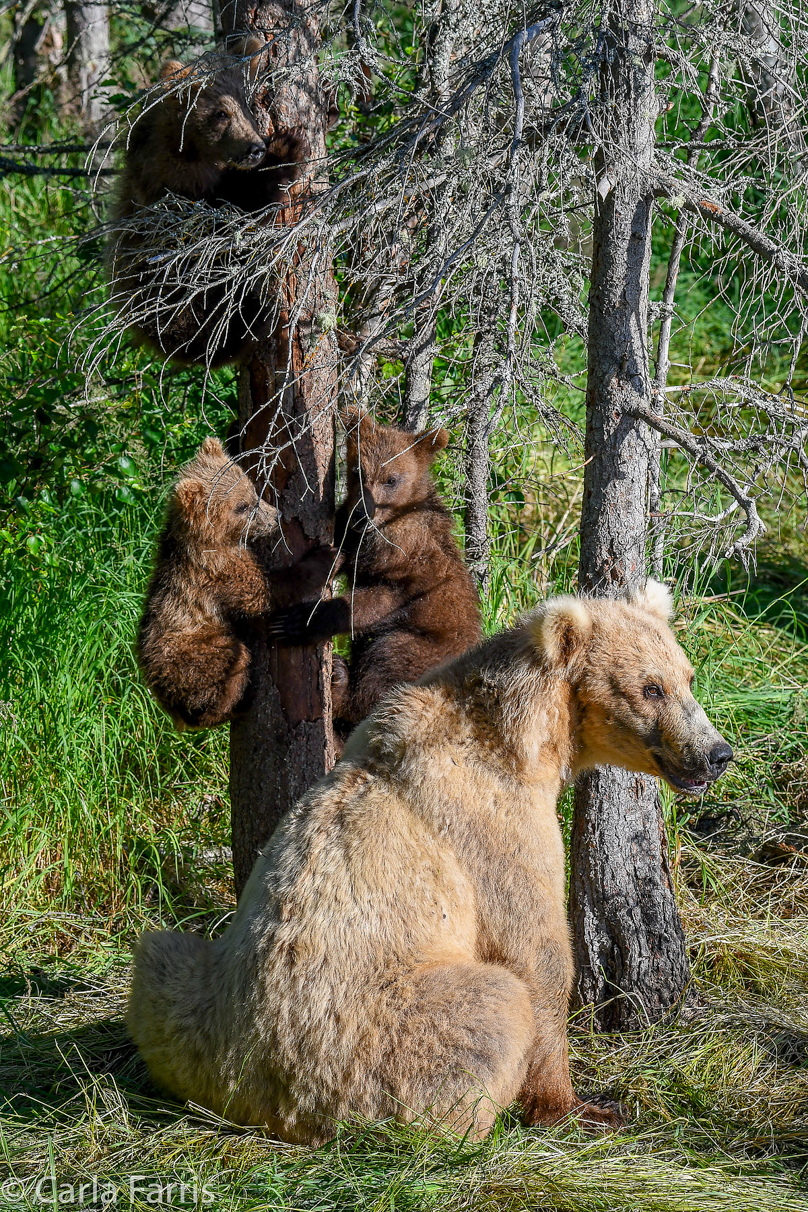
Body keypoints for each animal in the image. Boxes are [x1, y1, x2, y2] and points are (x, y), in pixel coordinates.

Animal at [126, 581, 731, 1139]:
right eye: (650, 687)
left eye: (687, 676)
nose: (716, 753)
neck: (525, 736)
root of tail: (256, 1093)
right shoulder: (492, 822)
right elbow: (534, 951)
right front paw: (578, 1105)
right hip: (370, 1034)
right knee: (492, 1007)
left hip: (191, 1000)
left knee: (160, 956)